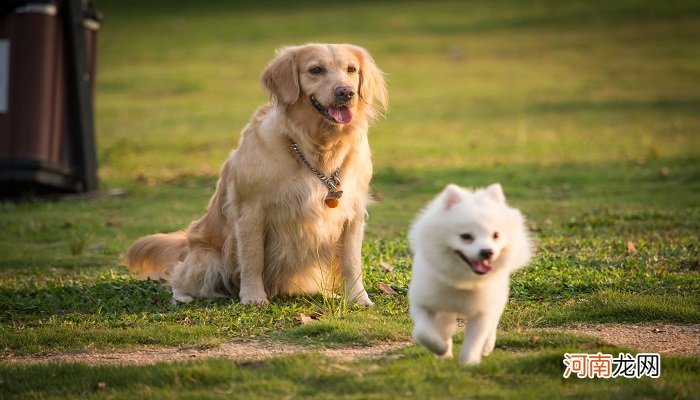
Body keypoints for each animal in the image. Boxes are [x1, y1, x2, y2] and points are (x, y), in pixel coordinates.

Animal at [408, 183, 532, 364]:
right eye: (466, 236)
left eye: (496, 235)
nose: (487, 252)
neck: (463, 281)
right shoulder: (423, 302)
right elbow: (423, 333)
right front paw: (441, 348)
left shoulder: (482, 311)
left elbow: (475, 340)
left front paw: (469, 364)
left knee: (493, 323)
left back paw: (487, 346)